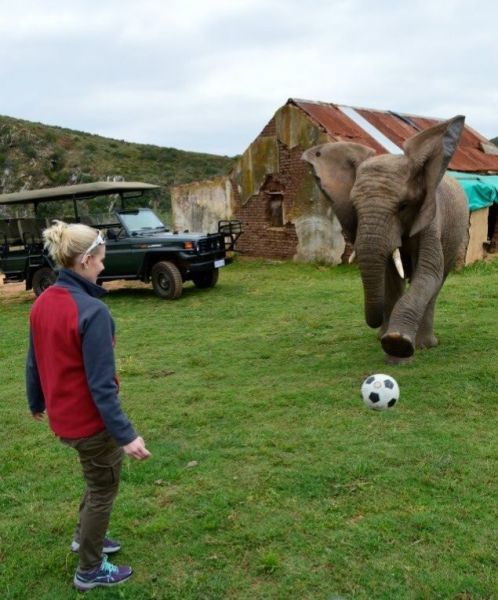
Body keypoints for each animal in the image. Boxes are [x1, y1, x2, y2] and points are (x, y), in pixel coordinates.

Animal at [302, 115, 468, 364]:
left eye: (403, 206)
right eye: (354, 207)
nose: (376, 324)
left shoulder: (430, 219)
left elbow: (428, 273)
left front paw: (397, 345)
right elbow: (390, 277)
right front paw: (387, 340)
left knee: (437, 282)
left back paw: (425, 344)